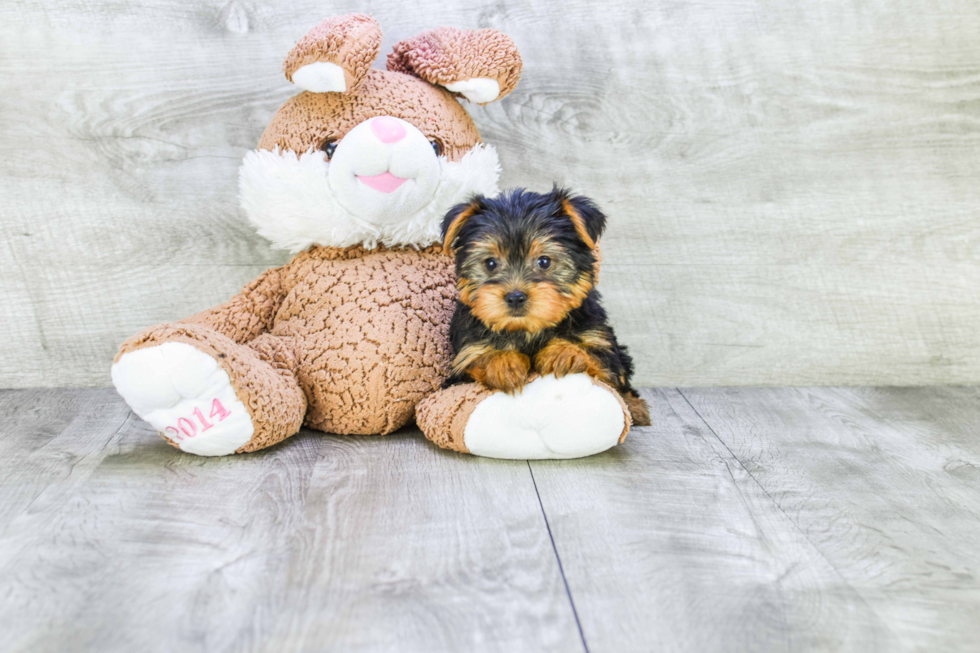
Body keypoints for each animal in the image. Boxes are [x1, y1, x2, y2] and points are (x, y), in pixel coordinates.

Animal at [444, 186, 652, 426]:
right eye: (490, 263)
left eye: (544, 261)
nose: (515, 297)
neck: (528, 330)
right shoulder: (464, 361)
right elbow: (478, 360)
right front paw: (503, 363)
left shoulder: (601, 344)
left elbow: (601, 361)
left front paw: (563, 352)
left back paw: (636, 408)